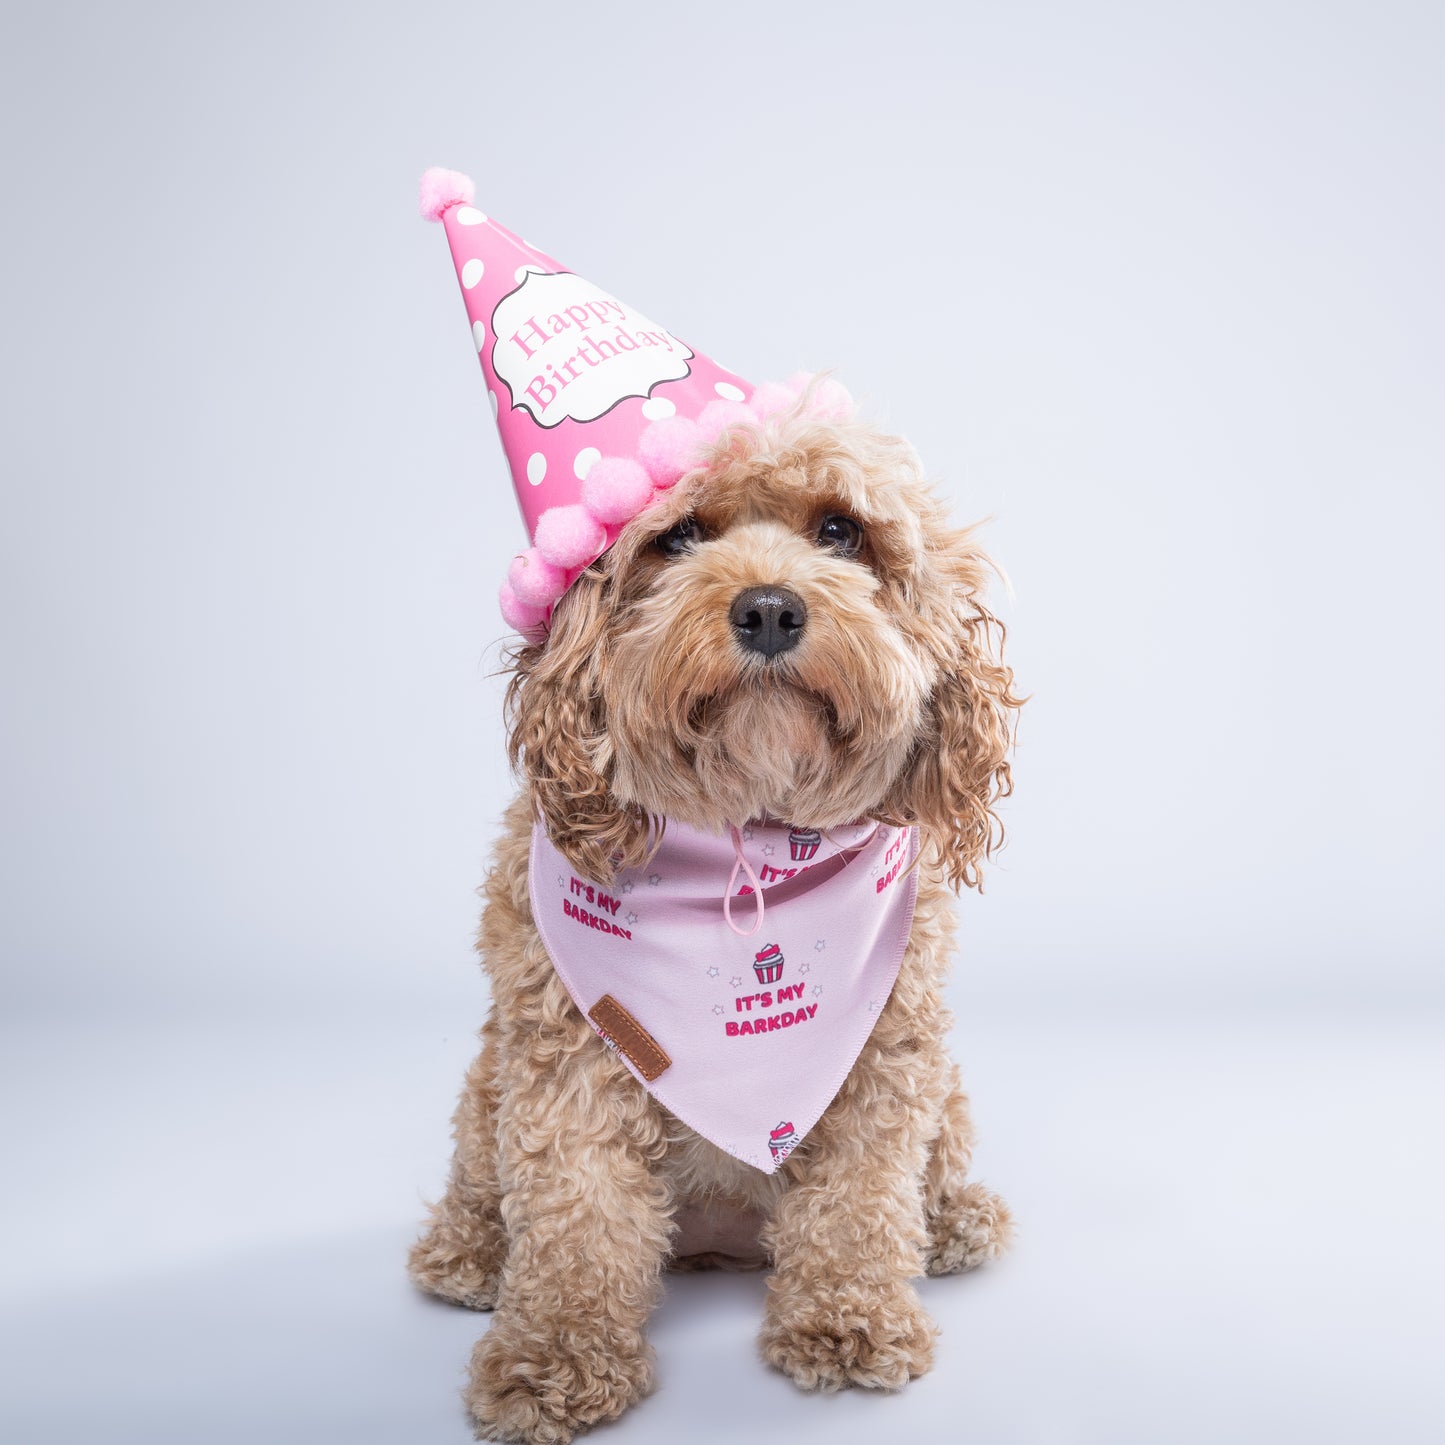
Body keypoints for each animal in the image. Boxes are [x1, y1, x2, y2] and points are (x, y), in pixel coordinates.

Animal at [407, 395, 1017, 1445]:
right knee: (486, 1181)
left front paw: (848, 1319)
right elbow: (575, 1216)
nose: (768, 608)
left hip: (947, 1094)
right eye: (679, 534)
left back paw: (953, 1220)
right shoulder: (568, 1066)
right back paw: (470, 1251)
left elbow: (860, 1197)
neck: (747, 843)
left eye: (839, 530)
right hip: (487, 1085)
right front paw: (552, 1357)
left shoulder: (886, 1054)